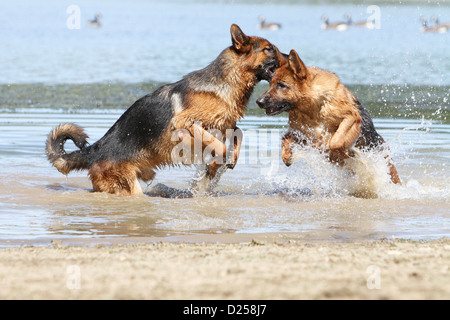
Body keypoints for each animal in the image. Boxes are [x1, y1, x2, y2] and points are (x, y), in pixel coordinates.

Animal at [45, 25, 278, 195]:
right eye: (269, 49)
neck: (226, 82)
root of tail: (96, 150)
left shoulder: (225, 125)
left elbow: (238, 134)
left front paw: (227, 161)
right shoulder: (184, 123)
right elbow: (219, 145)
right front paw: (217, 164)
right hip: (130, 188)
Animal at [256, 49, 400, 185]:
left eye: (281, 85)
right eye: (270, 84)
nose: (258, 101)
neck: (314, 109)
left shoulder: (351, 118)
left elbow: (335, 141)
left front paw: (344, 152)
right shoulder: (302, 133)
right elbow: (284, 139)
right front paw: (287, 157)